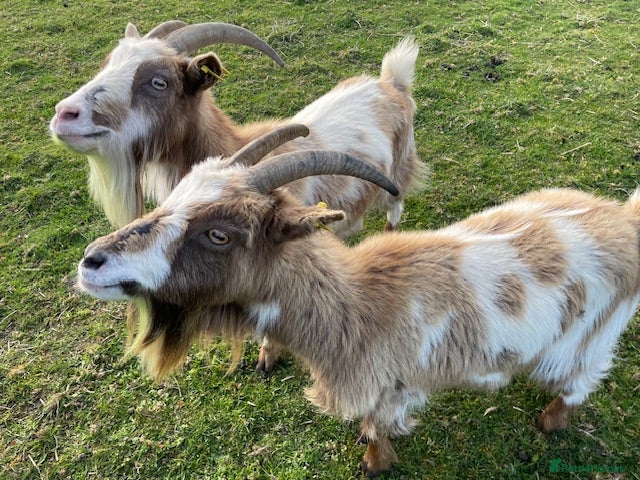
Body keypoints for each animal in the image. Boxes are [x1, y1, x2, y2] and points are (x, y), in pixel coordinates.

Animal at [51, 23, 424, 371]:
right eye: (107, 62)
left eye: (159, 82)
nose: (64, 114)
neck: (234, 143)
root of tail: (390, 83)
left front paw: (268, 354)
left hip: (399, 170)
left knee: (396, 203)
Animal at [77, 130, 640, 475]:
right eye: (173, 198)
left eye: (219, 234)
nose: (92, 262)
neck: (355, 304)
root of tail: (624, 222)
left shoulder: (386, 387)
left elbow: (375, 430)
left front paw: (375, 464)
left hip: (591, 335)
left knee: (581, 381)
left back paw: (550, 421)